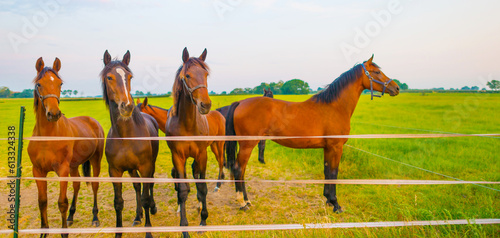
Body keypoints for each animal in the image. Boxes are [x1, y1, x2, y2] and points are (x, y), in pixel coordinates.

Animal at [27, 57, 104, 236]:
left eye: (60, 83)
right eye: (39, 84)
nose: (54, 114)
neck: (48, 137)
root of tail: (93, 121)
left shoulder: (62, 170)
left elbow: (62, 202)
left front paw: (64, 233)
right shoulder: (38, 171)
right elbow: (42, 201)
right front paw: (44, 232)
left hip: (95, 160)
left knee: (95, 185)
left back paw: (95, 218)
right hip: (74, 166)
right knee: (77, 185)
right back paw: (70, 216)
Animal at [99, 50, 158, 238]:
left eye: (130, 77)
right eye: (109, 77)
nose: (127, 106)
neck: (125, 137)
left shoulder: (146, 166)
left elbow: (145, 198)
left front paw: (149, 231)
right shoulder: (114, 171)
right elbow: (118, 202)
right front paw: (119, 232)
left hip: (150, 165)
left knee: (149, 184)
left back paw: (152, 208)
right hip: (132, 169)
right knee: (137, 186)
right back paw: (138, 217)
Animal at [166, 47, 225, 237]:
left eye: (205, 74)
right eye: (188, 75)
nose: (205, 105)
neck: (187, 124)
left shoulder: (202, 155)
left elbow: (203, 187)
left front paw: (203, 221)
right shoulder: (178, 157)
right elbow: (183, 190)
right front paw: (184, 227)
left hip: (217, 146)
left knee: (219, 163)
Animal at [226, 55, 398, 210]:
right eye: (376, 72)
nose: (396, 88)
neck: (334, 107)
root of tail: (240, 102)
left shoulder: (328, 148)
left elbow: (327, 171)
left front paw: (328, 200)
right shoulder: (336, 147)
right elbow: (334, 173)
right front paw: (336, 204)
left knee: (241, 171)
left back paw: (247, 201)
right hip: (247, 145)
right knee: (238, 169)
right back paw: (242, 203)